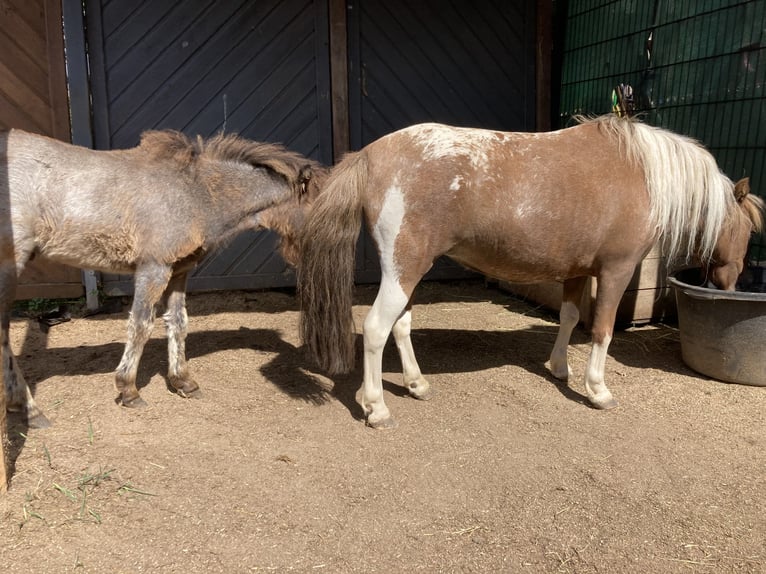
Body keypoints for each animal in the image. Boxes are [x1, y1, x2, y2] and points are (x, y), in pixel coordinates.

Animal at [296, 116, 764, 428]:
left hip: (406, 270)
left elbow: (571, 317)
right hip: (404, 269)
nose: (732, 283)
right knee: (377, 327)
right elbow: (602, 329)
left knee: (401, 325)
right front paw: (598, 390)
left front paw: (559, 368)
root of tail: (372, 154)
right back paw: (376, 407)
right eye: (748, 231)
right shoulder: (616, 269)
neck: (641, 174)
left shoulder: (579, 270)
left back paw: (415, 384)